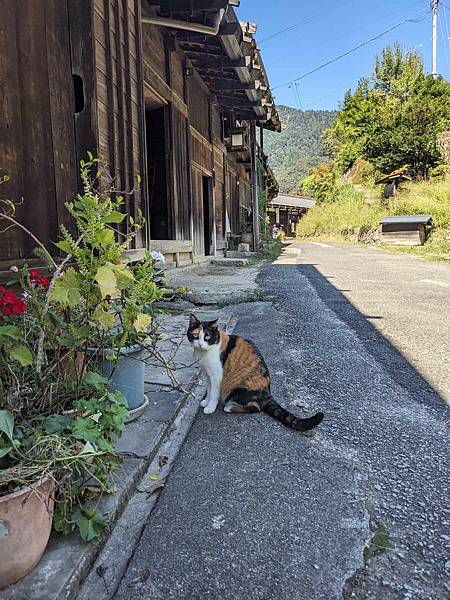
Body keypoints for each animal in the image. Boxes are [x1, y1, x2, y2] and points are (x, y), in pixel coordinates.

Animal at [186, 314, 324, 432]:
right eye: (195, 335)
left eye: (207, 337)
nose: (200, 344)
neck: (204, 353)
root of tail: (267, 392)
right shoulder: (208, 374)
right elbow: (209, 390)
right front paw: (206, 402)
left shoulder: (216, 376)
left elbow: (214, 393)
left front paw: (210, 407)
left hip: (237, 390)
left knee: (254, 407)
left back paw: (229, 407)